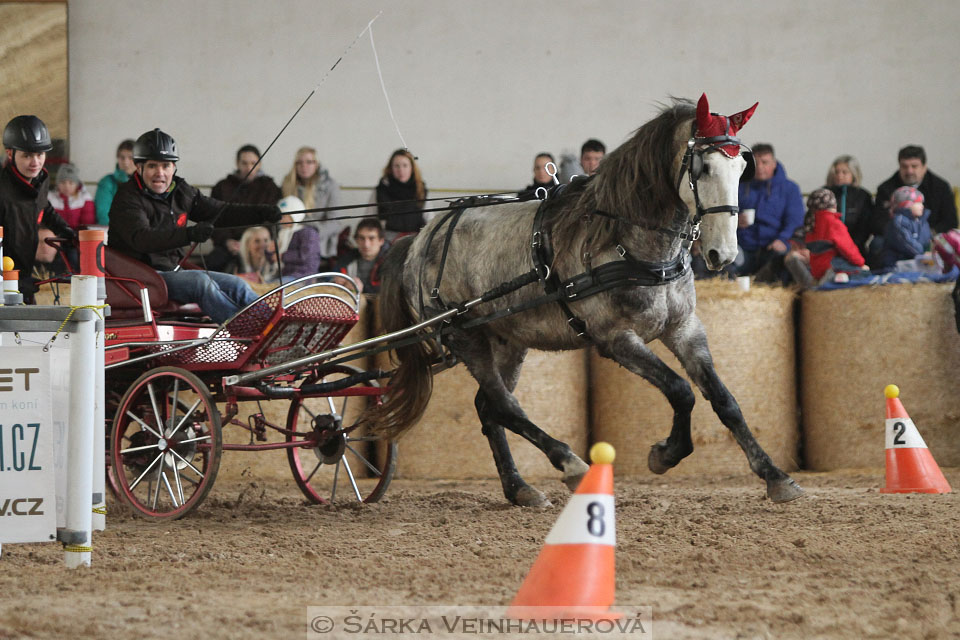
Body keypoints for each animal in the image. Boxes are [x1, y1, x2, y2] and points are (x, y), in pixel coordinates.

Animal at [360, 95, 804, 504]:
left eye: (743, 168)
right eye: (703, 168)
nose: (722, 254)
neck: (628, 242)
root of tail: (419, 239)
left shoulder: (685, 329)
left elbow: (725, 400)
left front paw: (775, 476)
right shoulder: (616, 339)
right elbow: (681, 390)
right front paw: (665, 454)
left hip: (507, 341)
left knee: (489, 407)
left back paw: (520, 488)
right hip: (463, 336)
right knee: (505, 405)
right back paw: (570, 463)